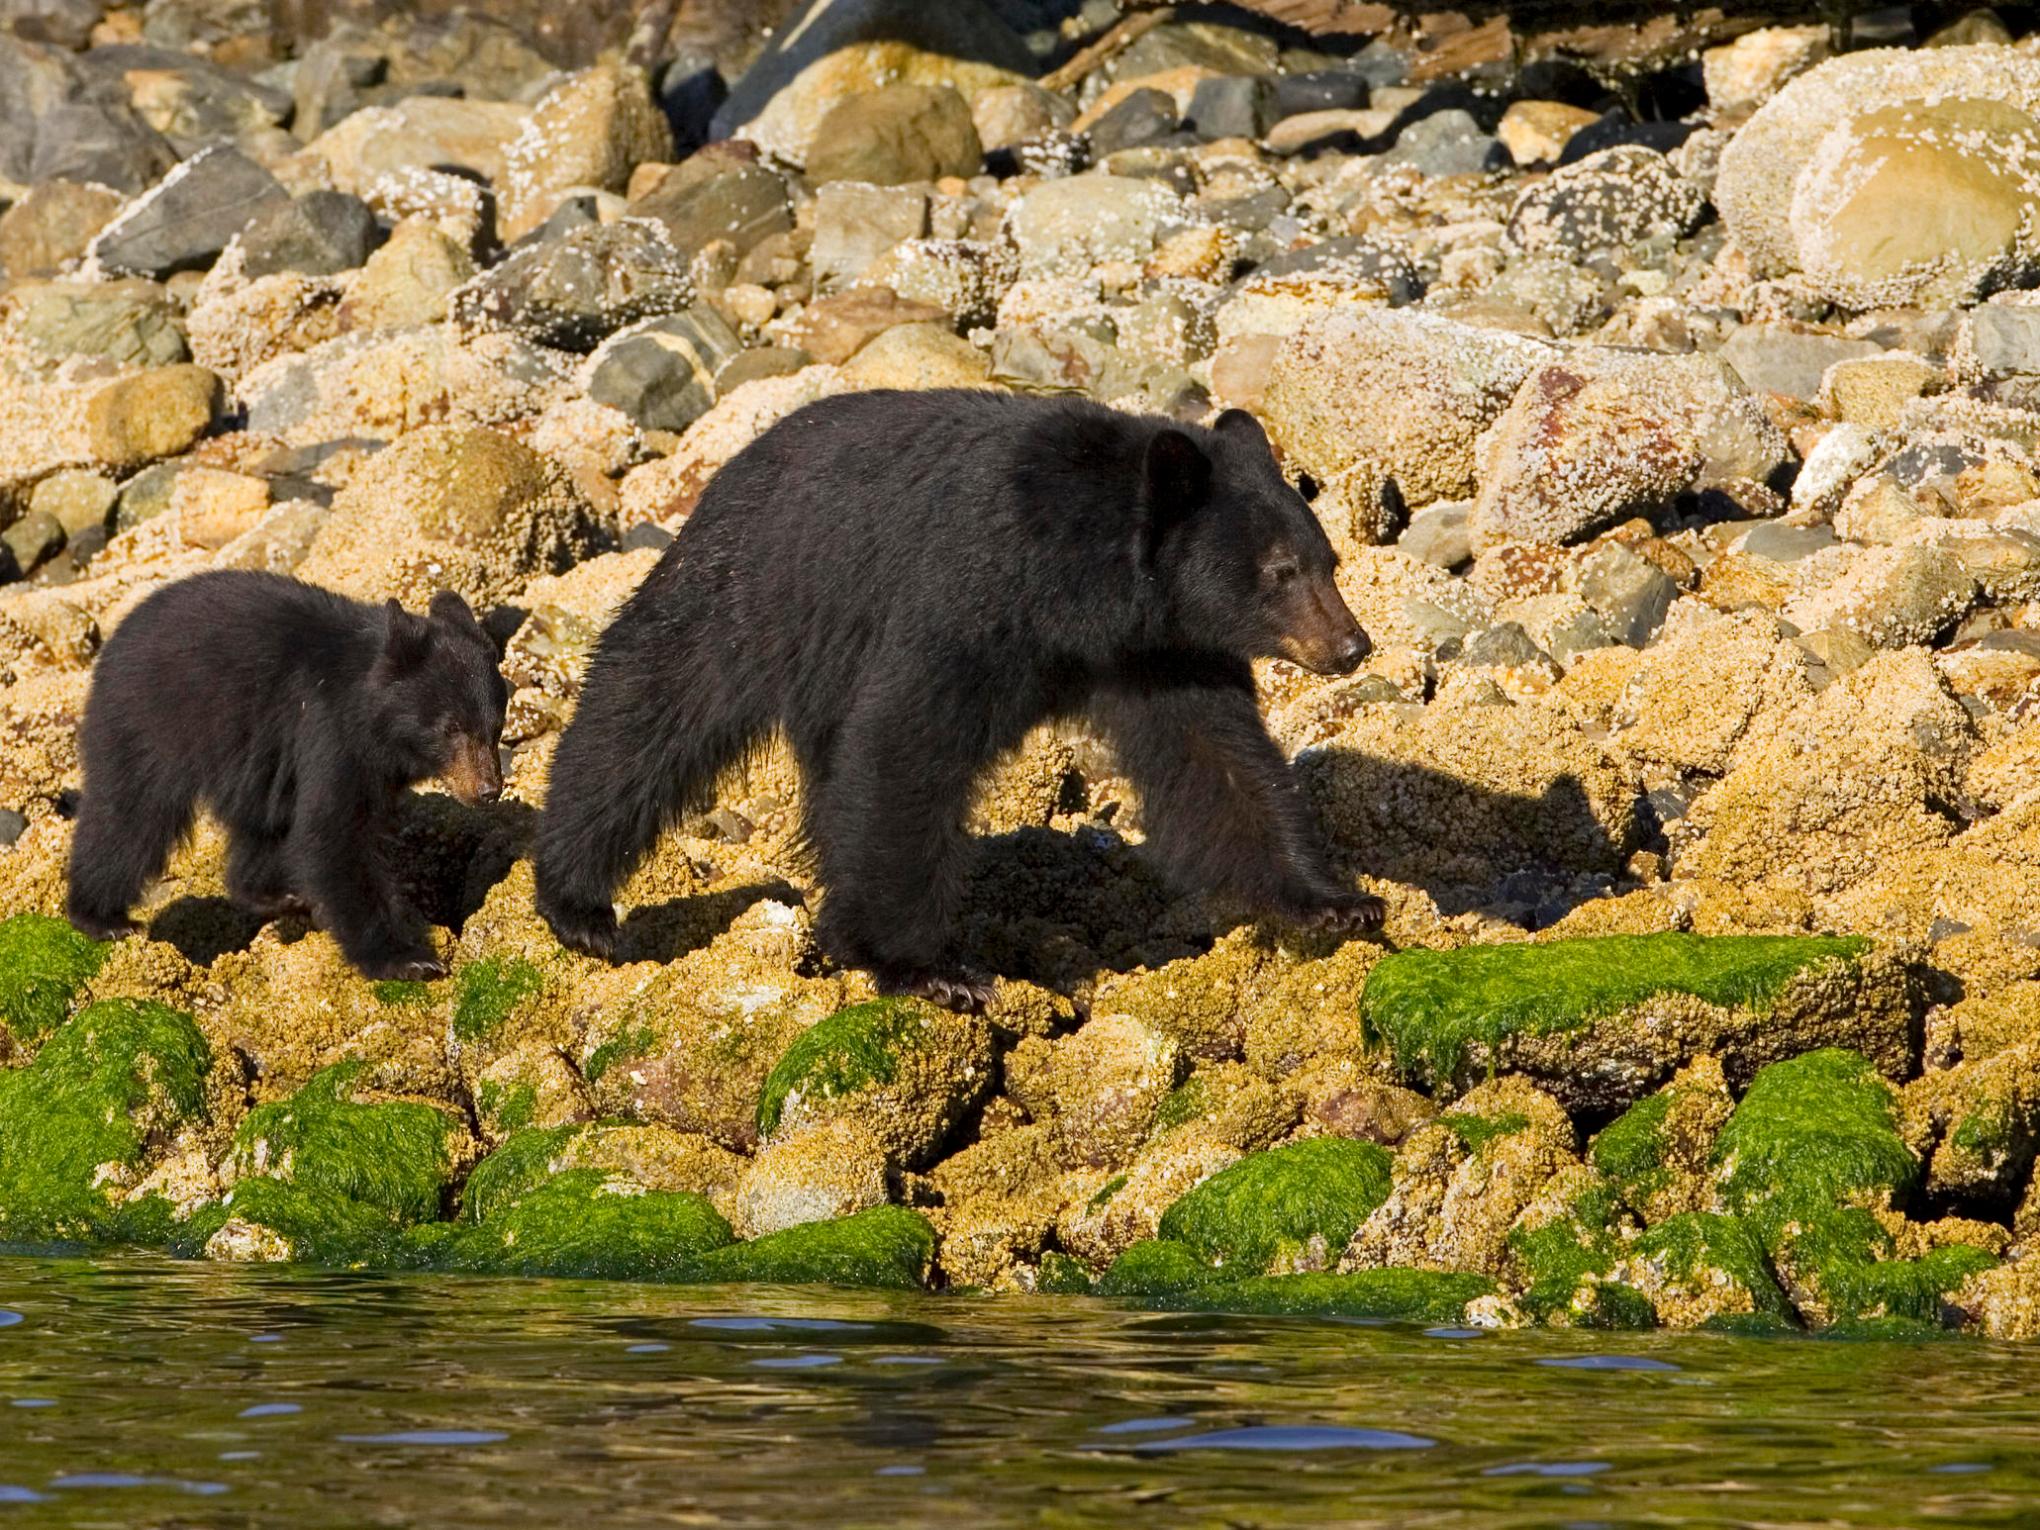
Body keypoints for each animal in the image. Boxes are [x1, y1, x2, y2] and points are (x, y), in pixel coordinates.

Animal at [67, 571, 508, 981]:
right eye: (451, 728)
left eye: (496, 727)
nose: (488, 790)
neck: (372, 716)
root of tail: (115, 639)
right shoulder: (331, 732)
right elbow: (334, 835)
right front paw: (407, 958)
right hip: (149, 722)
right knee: (129, 818)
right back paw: (101, 918)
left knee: (263, 825)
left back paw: (274, 895)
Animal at [535, 389, 1379, 1010]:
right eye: (1280, 571)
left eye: (1329, 560)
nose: (1352, 646)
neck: (1079, 585)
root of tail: (732, 464)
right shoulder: (968, 598)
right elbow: (904, 750)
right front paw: (929, 966)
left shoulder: (1160, 653)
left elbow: (1221, 763)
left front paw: (1334, 900)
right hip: (752, 588)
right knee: (648, 708)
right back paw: (577, 901)